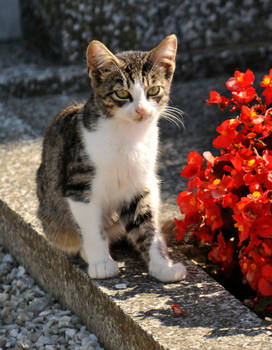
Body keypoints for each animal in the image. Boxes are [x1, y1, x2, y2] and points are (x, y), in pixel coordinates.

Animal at [36, 33, 187, 282]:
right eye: (122, 93)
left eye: (154, 90)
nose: (141, 110)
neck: (127, 137)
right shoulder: (79, 184)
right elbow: (91, 226)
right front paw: (101, 262)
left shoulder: (139, 183)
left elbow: (145, 222)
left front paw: (161, 266)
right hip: (52, 216)